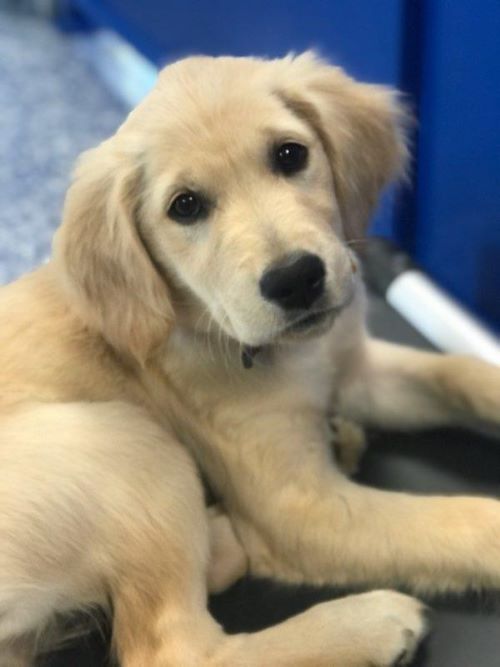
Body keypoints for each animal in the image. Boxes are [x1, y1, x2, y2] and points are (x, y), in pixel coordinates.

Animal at [0, 52, 500, 667]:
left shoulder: (355, 370)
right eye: (185, 206)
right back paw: (366, 623)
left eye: (290, 155)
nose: (296, 279)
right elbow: (460, 520)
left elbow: (460, 372)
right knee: (177, 649)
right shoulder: (302, 509)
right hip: (124, 440)